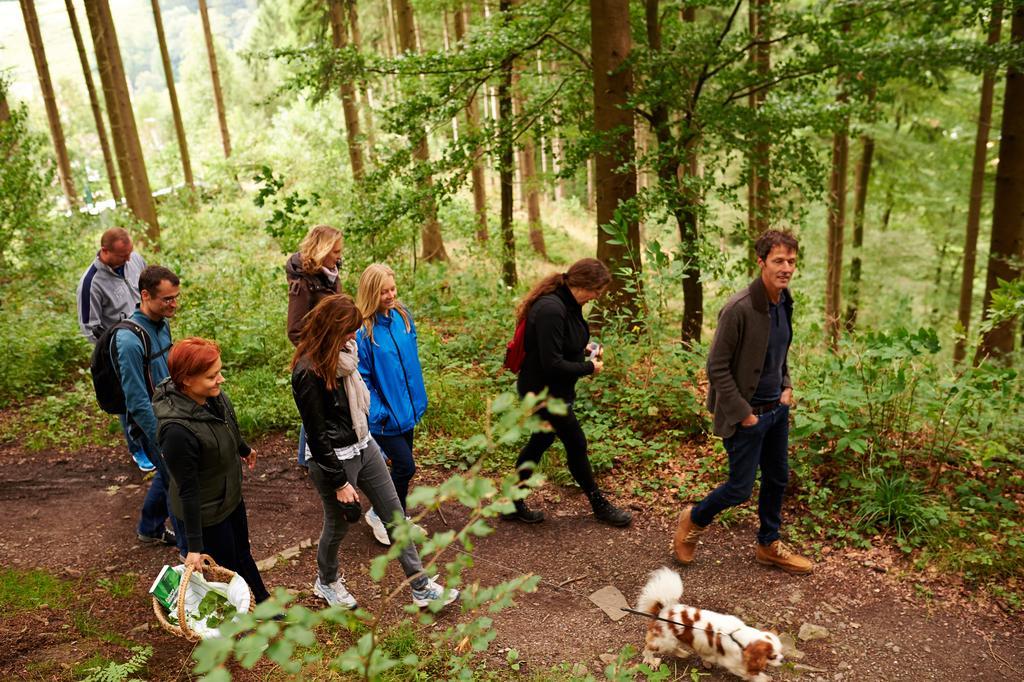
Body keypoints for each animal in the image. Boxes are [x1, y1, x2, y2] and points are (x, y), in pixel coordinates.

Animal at [634, 561, 786, 679]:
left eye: (781, 651)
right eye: (772, 656)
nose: (782, 660)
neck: (738, 638)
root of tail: (662, 611)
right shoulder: (733, 664)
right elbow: (752, 674)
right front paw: (765, 678)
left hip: (672, 641)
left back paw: (683, 653)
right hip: (664, 642)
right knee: (647, 649)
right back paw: (652, 661)